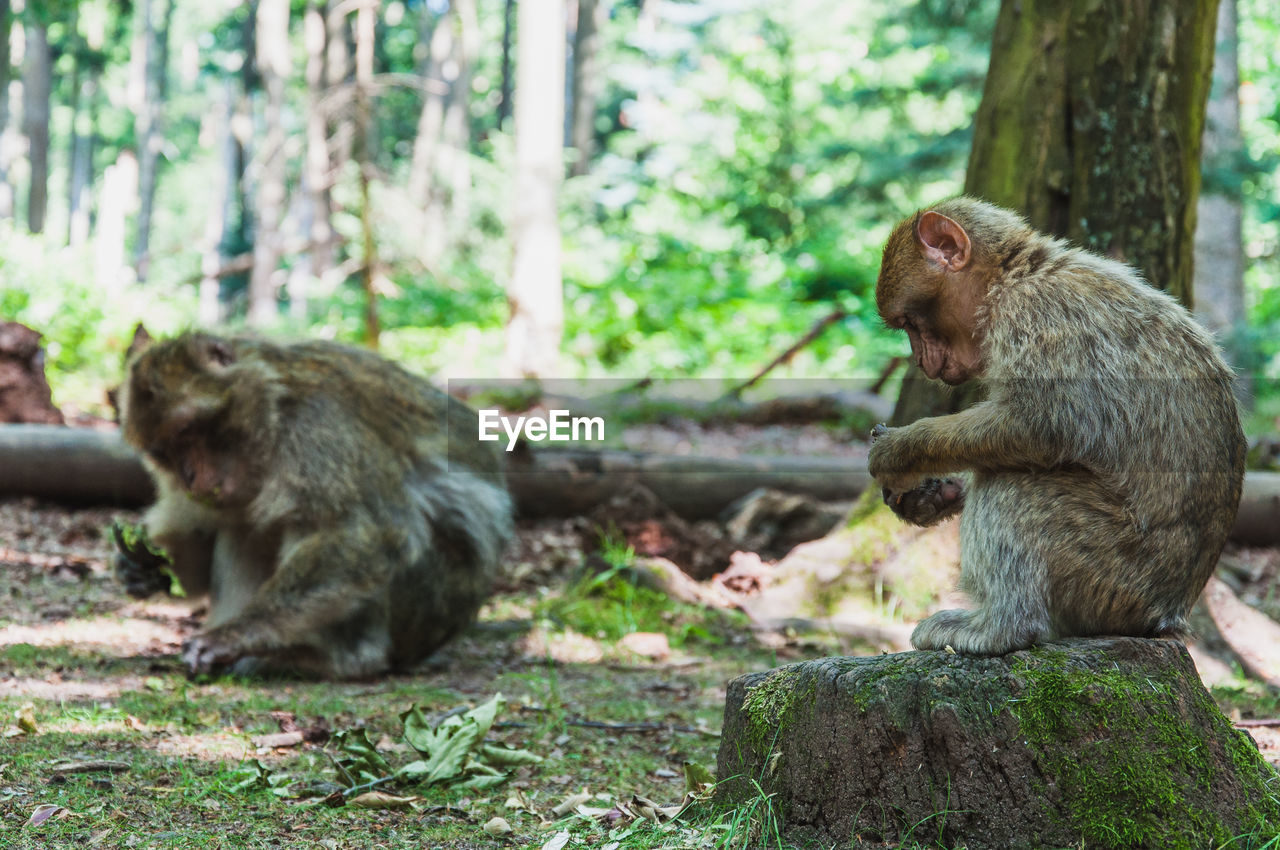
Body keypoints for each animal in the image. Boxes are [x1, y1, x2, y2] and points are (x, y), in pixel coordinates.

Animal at [115, 332, 512, 675]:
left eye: (186, 430)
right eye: (163, 453)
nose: (189, 476)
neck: (273, 412)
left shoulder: (320, 427)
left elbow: (365, 533)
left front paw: (235, 635)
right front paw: (144, 566)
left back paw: (329, 657)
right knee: (243, 526)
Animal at [865, 199, 1244, 655]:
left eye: (910, 323)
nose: (921, 361)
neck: (1014, 277)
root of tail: (1166, 617)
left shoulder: (1034, 314)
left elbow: (1039, 426)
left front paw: (901, 451)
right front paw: (936, 493)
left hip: (1111, 576)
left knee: (1016, 485)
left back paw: (1001, 627)